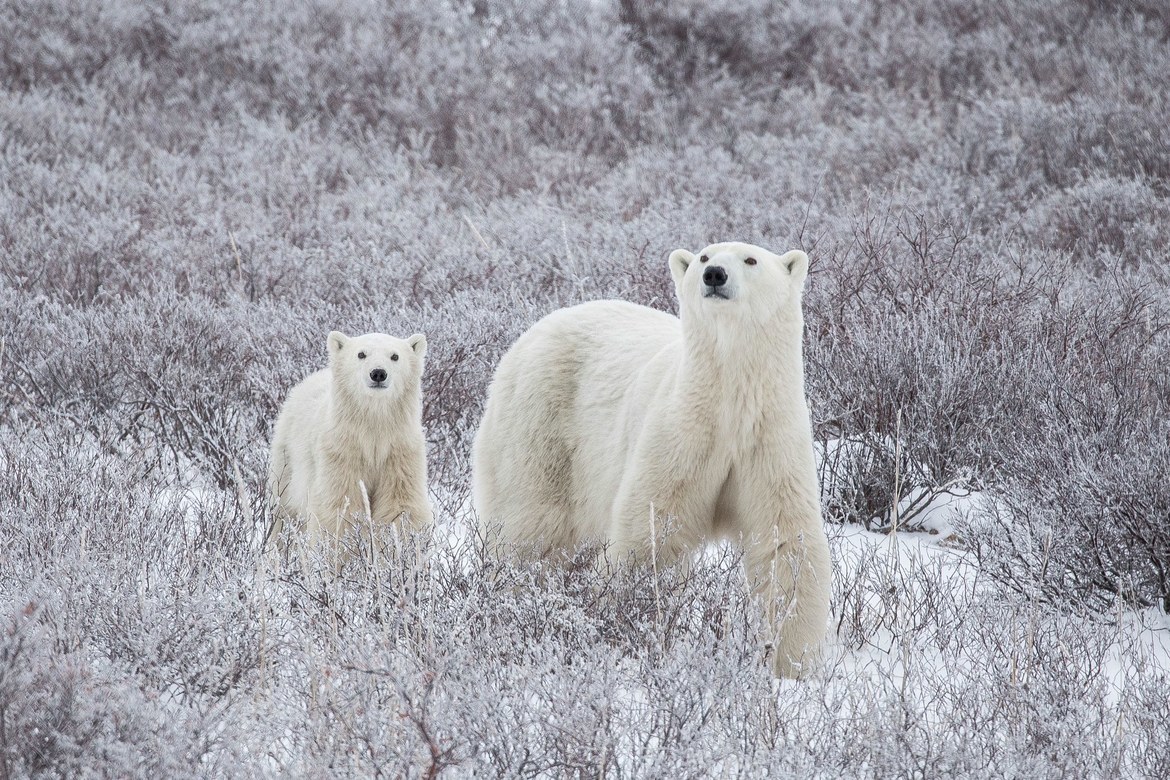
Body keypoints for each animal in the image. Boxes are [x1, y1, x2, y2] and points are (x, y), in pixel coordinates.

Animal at [267, 330, 432, 566]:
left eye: (395, 356)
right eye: (361, 354)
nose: (378, 373)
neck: (373, 430)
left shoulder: (399, 451)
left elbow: (400, 506)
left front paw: (398, 559)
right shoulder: (342, 449)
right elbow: (341, 506)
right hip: (286, 458)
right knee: (284, 512)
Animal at [472, 242, 832, 678]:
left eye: (751, 260)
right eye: (704, 256)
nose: (714, 274)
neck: (729, 403)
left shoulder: (769, 439)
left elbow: (786, 544)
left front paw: (791, 664)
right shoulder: (680, 434)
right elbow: (651, 534)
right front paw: (625, 621)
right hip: (541, 422)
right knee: (530, 527)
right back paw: (511, 600)